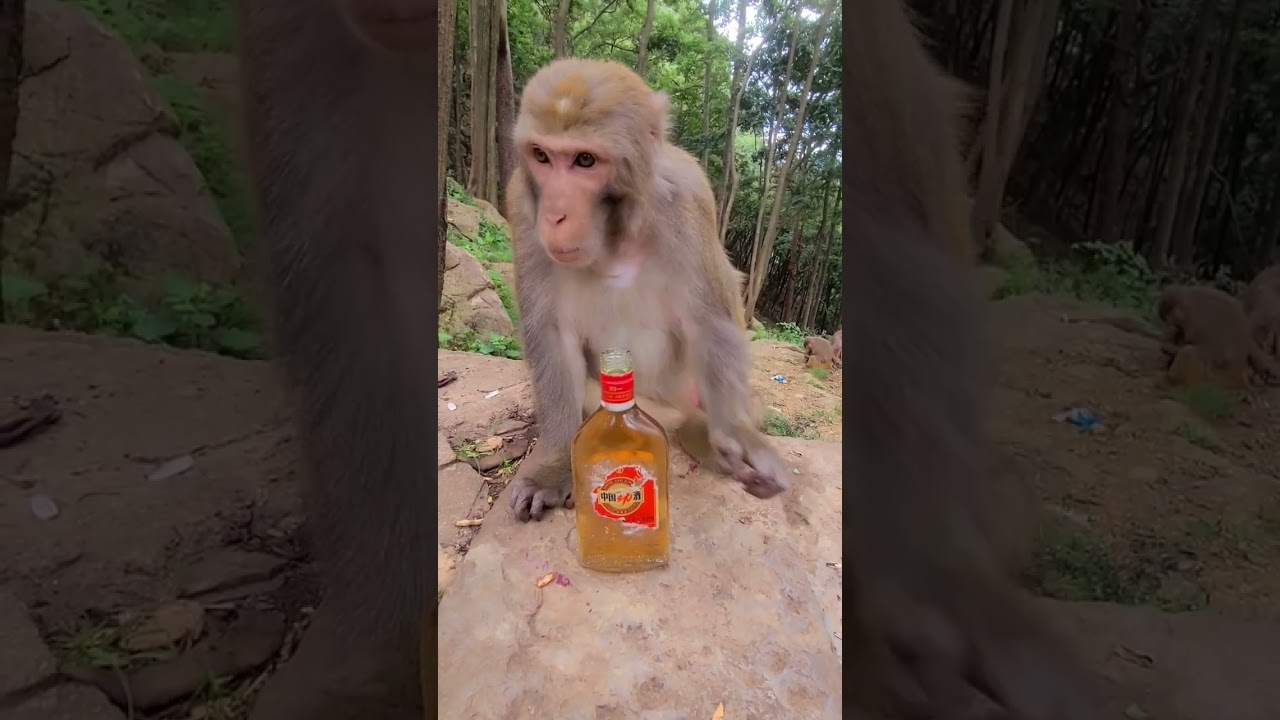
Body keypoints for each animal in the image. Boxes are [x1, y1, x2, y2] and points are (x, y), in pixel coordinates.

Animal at [504, 58, 788, 521]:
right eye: (542, 156)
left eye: (585, 160)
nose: (555, 215)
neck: (616, 234)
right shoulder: (522, 210)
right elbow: (551, 334)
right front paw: (554, 468)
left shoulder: (688, 200)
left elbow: (709, 321)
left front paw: (735, 434)